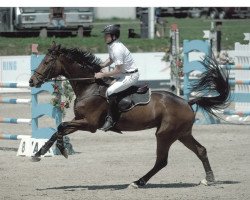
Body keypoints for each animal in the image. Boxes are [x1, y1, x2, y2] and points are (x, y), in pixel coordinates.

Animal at [28, 42, 230, 188]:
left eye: (46, 62)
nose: (32, 81)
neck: (89, 87)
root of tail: (187, 102)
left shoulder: (89, 124)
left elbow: (60, 126)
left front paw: (60, 150)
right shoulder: (79, 121)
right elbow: (58, 130)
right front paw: (40, 153)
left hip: (165, 134)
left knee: (162, 161)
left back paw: (137, 182)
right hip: (182, 134)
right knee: (200, 150)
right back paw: (209, 179)